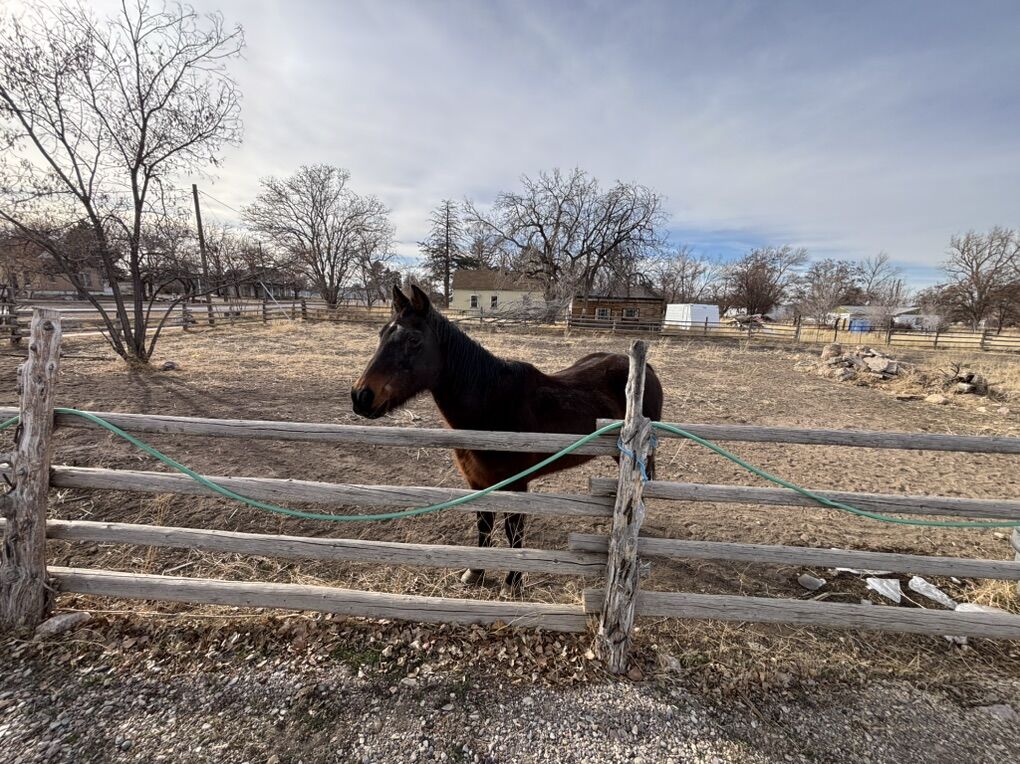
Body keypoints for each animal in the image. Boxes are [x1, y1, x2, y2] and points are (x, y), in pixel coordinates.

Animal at [351, 284, 664, 592]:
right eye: (382, 334)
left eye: (413, 340)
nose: (361, 396)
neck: (492, 405)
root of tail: (645, 367)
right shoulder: (478, 482)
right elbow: (484, 524)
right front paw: (475, 572)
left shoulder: (517, 484)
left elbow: (513, 531)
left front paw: (512, 582)